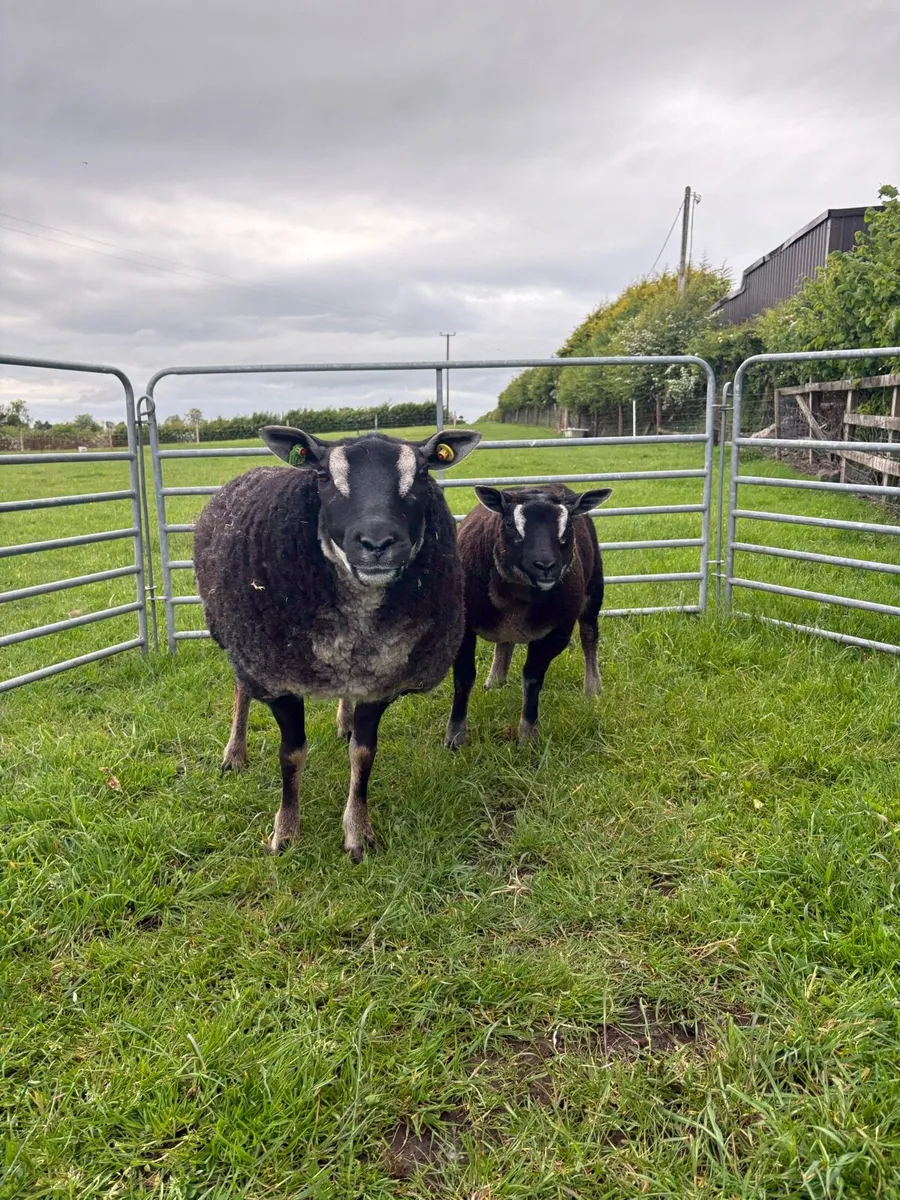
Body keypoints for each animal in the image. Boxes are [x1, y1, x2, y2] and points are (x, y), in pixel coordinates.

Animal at [192, 424, 481, 861]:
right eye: (324, 477)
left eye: (422, 475)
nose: (377, 543)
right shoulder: (278, 678)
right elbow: (291, 755)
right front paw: (285, 834)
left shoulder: (382, 679)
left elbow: (363, 754)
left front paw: (357, 833)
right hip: (237, 639)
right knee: (242, 687)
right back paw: (234, 754)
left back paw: (342, 721)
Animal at [444, 482, 612, 749]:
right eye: (509, 524)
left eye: (568, 525)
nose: (545, 565)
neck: (515, 598)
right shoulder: (463, 626)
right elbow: (464, 677)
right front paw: (455, 737)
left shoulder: (557, 632)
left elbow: (532, 679)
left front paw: (528, 736)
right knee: (505, 643)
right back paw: (495, 681)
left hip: (594, 588)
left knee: (589, 637)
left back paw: (592, 687)